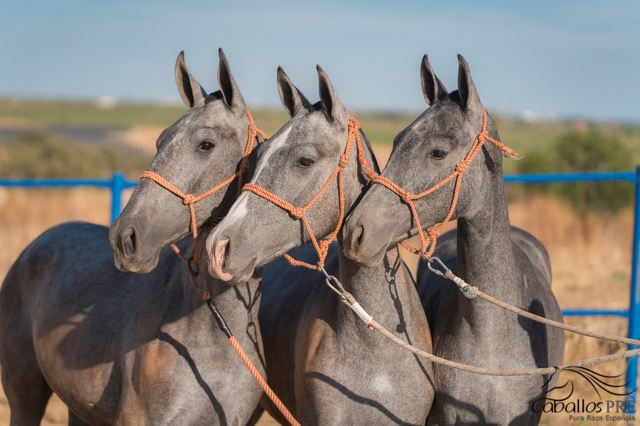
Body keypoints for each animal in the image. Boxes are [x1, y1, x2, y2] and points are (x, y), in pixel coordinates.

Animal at [0, 50, 264, 426]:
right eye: (160, 141)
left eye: (206, 144)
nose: (125, 238)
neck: (213, 332)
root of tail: (34, 246)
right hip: (25, 393)